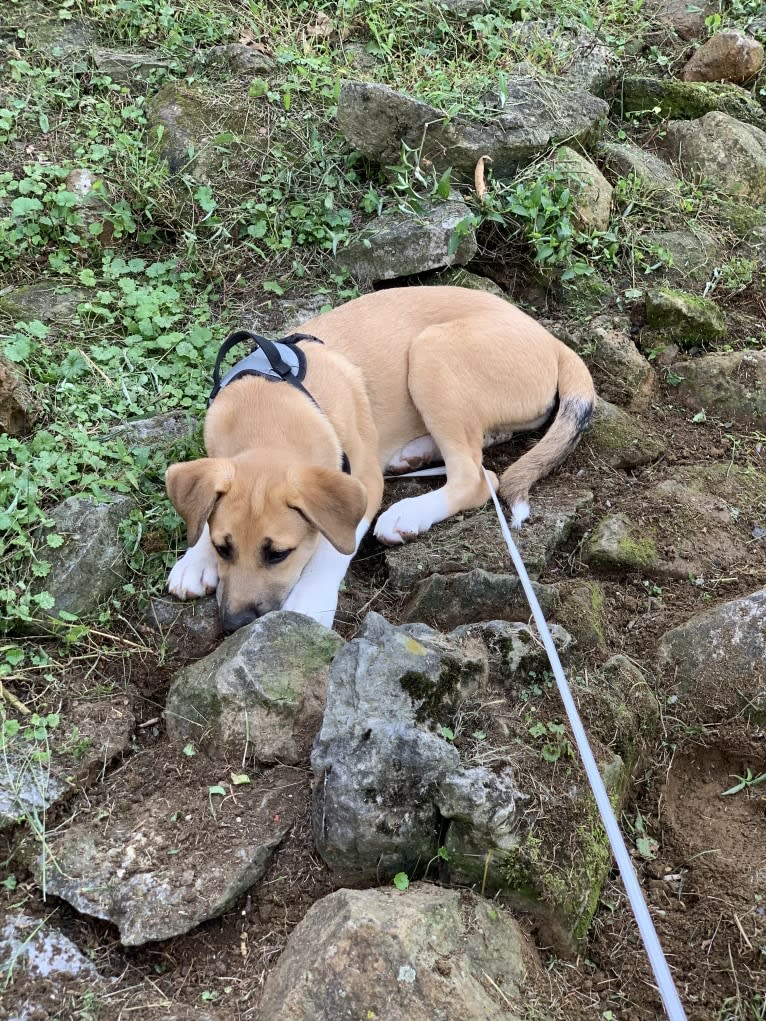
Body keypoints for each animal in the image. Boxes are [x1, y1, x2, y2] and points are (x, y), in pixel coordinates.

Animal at [167, 285, 596, 628]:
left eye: (278, 554)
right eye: (224, 548)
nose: (234, 624)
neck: (270, 411)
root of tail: (551, 339)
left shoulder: (362, 483)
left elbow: (332, 550)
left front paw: (308, 603)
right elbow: (205, 506)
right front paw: (195, 559)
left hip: (431, 354)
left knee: (476, 477)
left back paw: (409, 515)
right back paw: (415, 453)